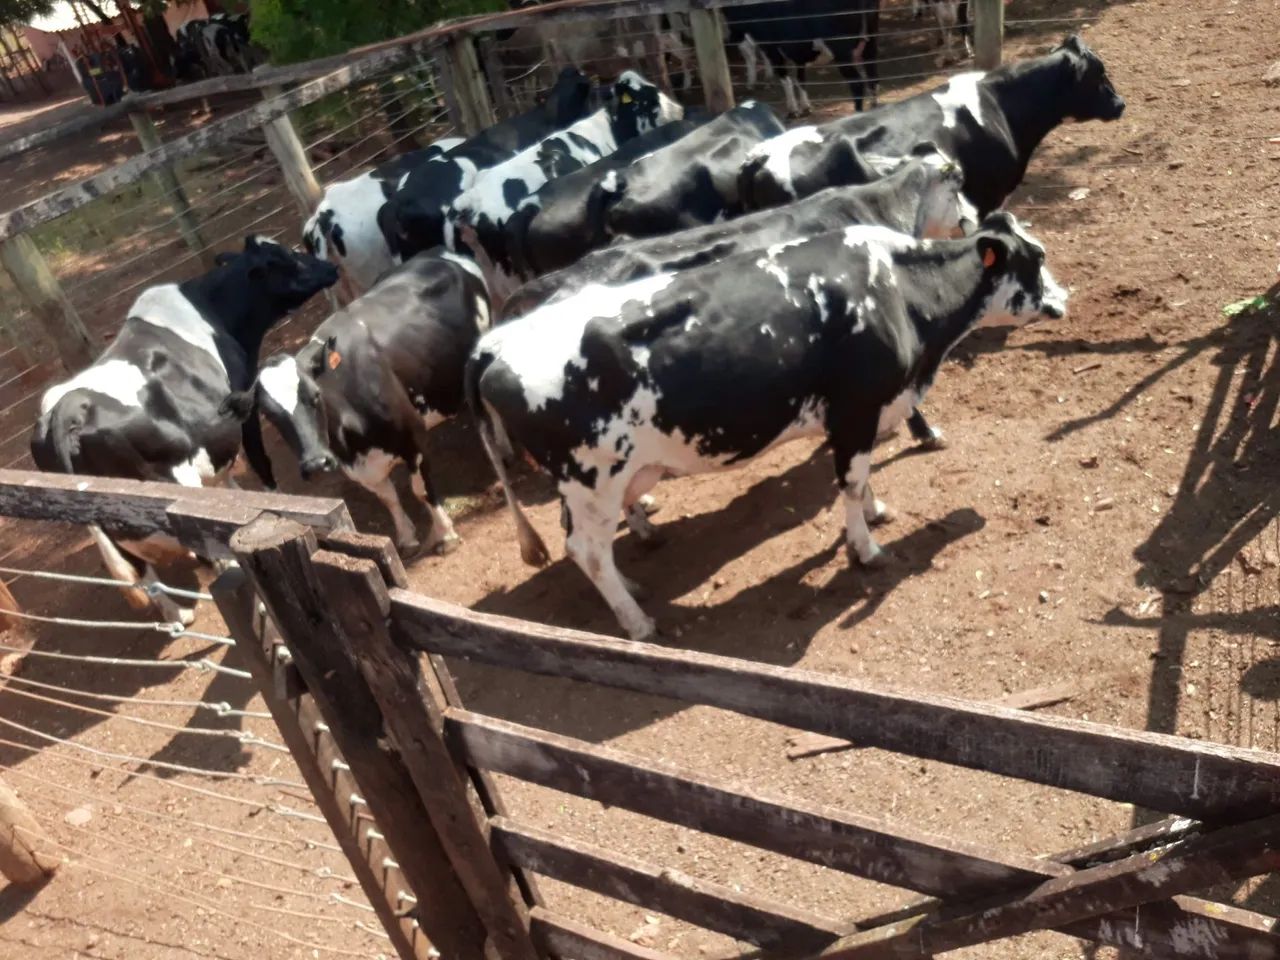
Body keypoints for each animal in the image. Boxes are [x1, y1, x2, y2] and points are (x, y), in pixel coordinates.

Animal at [31, 237, 338, 624]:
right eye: (286, 258)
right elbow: (259, 460)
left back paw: (179, 615)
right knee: (203, 556)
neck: (209, 309)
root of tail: (67, 406)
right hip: (172, 487)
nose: (331, 268)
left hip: (112, 518)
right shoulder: (246, 406)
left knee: (144, 574)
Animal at [243, 252, 491, 557]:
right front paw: (406, 536)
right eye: (269, 414)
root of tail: (439, 254)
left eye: (315, 395)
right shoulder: (360, 466)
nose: (316, 463)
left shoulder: (413, 437)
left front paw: (446, 534)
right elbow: (388, 497)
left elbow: (419, 489)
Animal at [467, 213, 1067, 640]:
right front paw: (866, 548)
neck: (898, 290)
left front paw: (875, 512)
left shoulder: (859, 416)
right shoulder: (856, 408)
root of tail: (496, 343)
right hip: (591, 477)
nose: (1066, 297)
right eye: (1036, 258)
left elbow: (861, 477)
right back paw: (637, 622)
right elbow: (850, 483)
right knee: (586, 549)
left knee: (593, 543)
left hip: (598, 482)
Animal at [722, 0, 880, 117]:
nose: (728, 37)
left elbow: (786, 80)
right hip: (871, 41)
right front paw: (806, 107)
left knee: (857, 83)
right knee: (872, 77)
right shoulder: (797, 52)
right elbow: (800, 79)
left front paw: (793, 110)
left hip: (840, 48)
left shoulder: (773, 50)